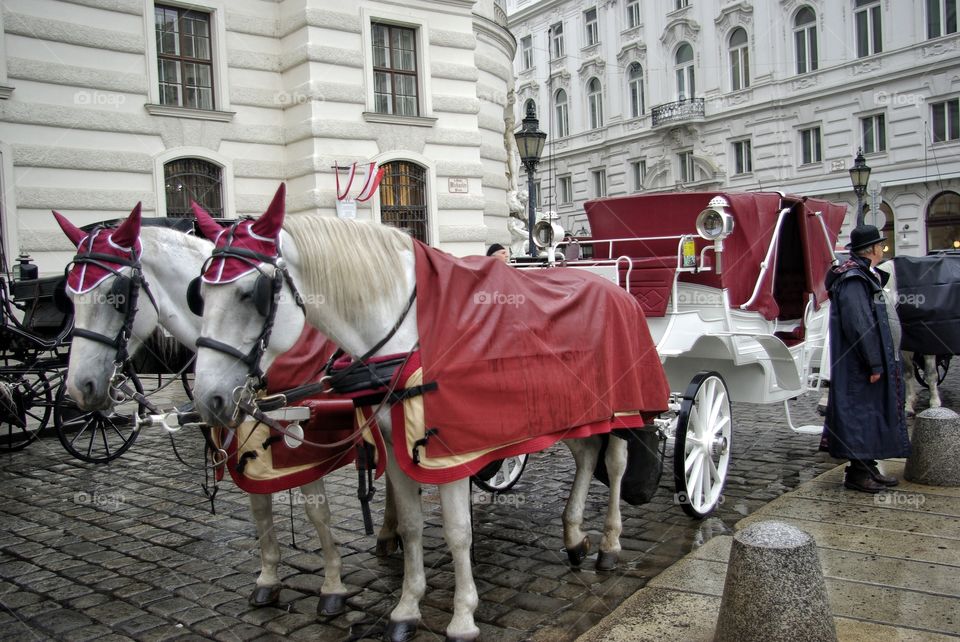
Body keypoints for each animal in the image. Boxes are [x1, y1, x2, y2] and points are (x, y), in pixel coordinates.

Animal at [54, 208, 366, 612]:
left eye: (116, 295)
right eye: (68, 297)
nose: (79, 387)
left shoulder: (305, 444)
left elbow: (317, 512)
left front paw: (332, 584)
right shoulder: (246, 440)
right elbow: (259, 508)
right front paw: (268, 577)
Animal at [190, 185, 632, 640]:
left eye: (251, 294)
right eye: (199, 296)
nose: (208, 398)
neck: (404, 338)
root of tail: (613, 286)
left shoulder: (450, 454)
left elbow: (458, 533)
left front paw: (462, 616)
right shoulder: (394, 446)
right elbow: (411, 524)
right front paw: (407, 607)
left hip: (622, 411)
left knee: (615, 463)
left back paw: (610, 543)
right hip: (573, 415)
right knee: (587, 456)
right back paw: (574, 535)